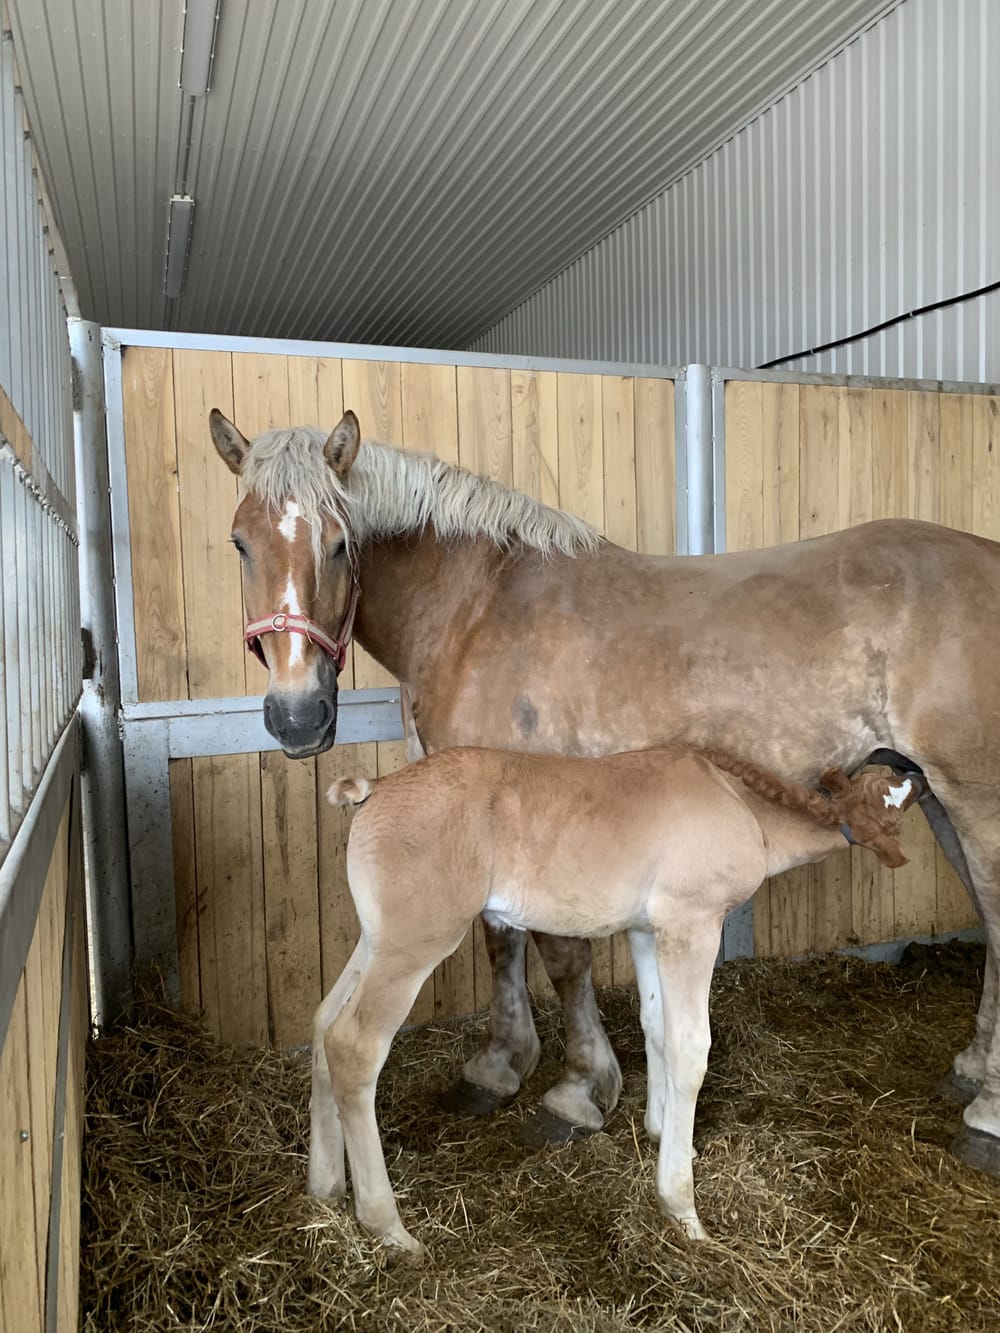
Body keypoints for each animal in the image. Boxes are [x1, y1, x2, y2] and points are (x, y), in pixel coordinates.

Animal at [209, 407, 1000, 1178]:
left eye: (341, 543)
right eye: (239, 542)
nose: (297, 716)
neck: (476, 608)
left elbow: (561, 954)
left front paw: (579, 1089)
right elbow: (501, 939)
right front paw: (500, 1067)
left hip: (973, 795)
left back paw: (985, 1116)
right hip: (931, 792)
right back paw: (971, 1068)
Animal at [308, 745, 922, 1253]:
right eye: (895, 803)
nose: (918, 774)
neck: (740, 804)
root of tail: (374, 788)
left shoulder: (648, 932)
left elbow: (657, 1026)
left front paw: (664, 1134)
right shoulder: (691, 924)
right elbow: (691, 1047)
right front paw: (682, 1207)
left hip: (377, 940)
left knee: (323, 1023)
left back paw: (324, 1188)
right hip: (414, 944)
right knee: (354, 1047)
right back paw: (388, 1227)